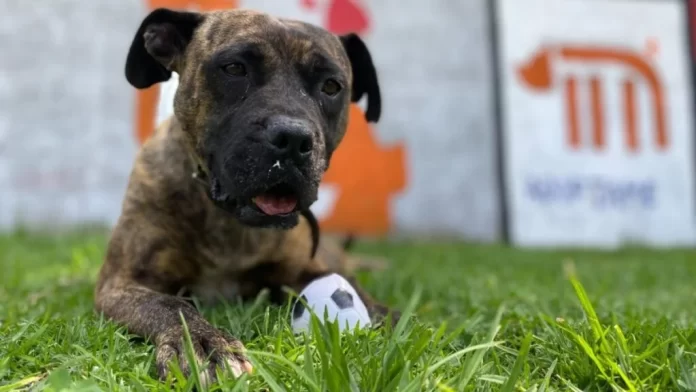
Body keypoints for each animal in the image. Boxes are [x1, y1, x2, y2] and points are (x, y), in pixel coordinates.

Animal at [96, 7, 402, 384]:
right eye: (234, 68)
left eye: (331, 86)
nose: (293, 138)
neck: (228, 223)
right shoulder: (122, 283)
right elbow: (170, 304)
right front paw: (202, 342)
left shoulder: (307, 268)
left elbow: (356, 292)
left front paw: (385, 314)